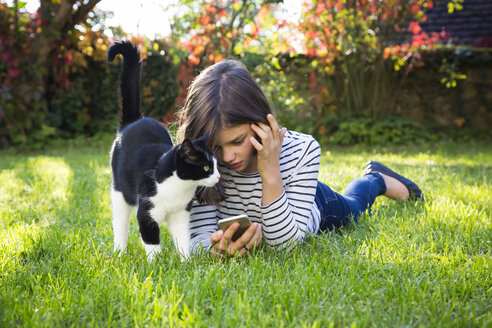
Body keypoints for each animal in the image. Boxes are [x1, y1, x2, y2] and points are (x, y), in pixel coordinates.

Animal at [106, 41, 220, 262]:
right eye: (206, 167)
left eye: (217, 165)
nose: (218, 177)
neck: (178, 188)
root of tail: (135, 120)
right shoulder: (146, 213)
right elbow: (151, 243)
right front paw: (155, 264)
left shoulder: (181, 214)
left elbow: (183, 239)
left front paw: (186, 263)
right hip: (120, 192)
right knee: (120, 224)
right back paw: (119, 252)